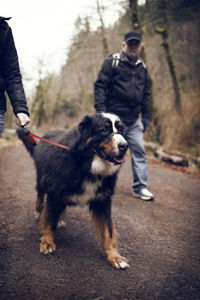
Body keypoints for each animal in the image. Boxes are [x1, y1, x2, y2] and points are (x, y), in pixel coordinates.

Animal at [17, 112, 130, 270]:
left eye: (120, 130)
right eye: (104, 130)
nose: (125, 146)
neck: (89, 166)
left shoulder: (103, 200)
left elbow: (108, 231)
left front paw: (115, 257)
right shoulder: (55, 192)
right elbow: (49, 219)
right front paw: (47, 242)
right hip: (42, 179)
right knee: (40, 195)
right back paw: (39, 209)